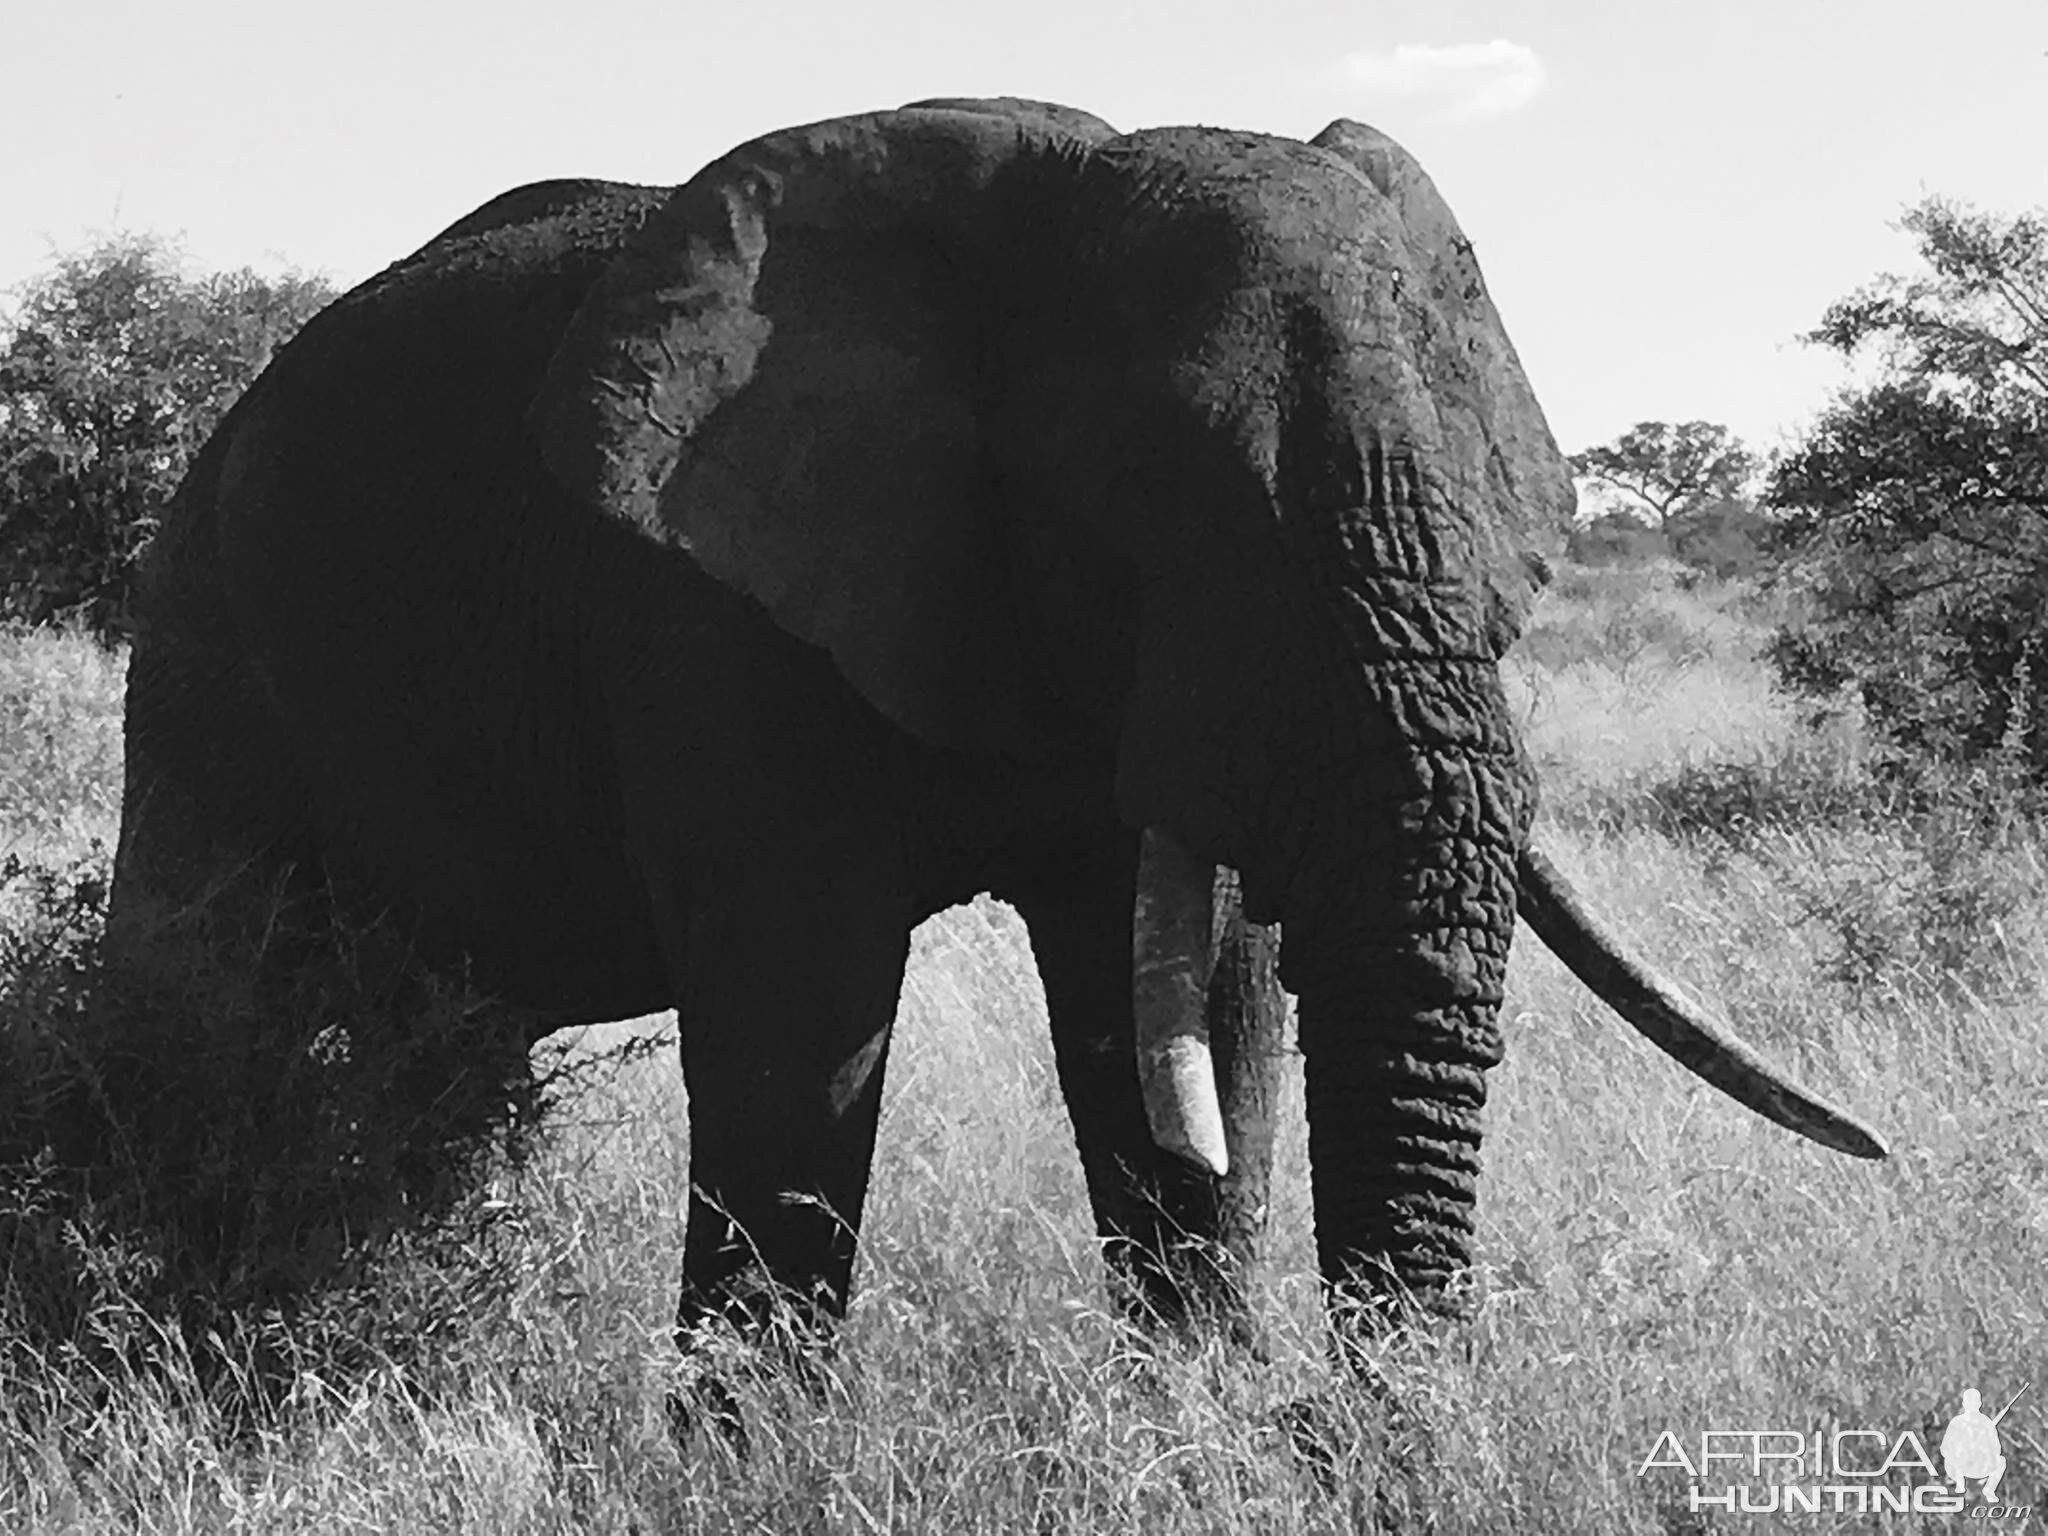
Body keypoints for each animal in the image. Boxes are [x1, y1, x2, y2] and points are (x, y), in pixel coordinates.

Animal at [108, 96, 1875, 1359]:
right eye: (1160, 501)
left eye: (1498, 492)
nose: (1344, 1434)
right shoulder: (708, 619)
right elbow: (801, 1039)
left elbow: (1190, 1014)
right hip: (200, 631)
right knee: (194, 990)